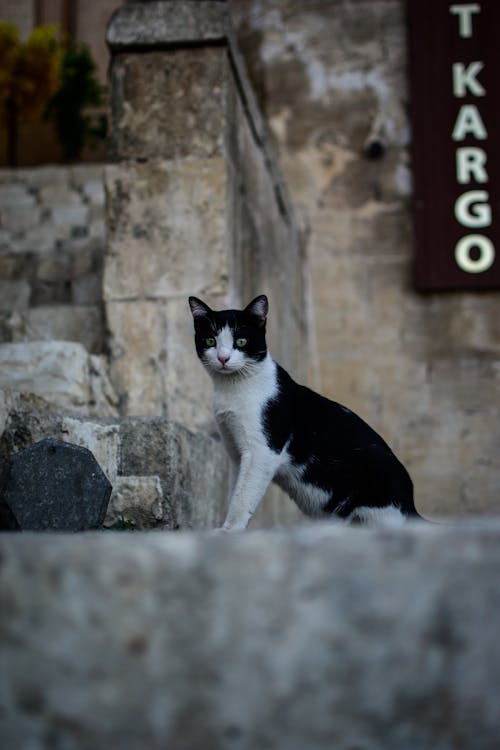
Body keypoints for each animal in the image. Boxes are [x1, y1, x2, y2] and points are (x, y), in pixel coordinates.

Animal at [188, 290, 422, 532]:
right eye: (210, 341)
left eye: (241, 341)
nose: (223, 358)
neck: (232, 389)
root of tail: (411, 508)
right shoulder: (236, 453)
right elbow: (235, 491)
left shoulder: (261, 451)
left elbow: (243, 497)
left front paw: (229, 530)